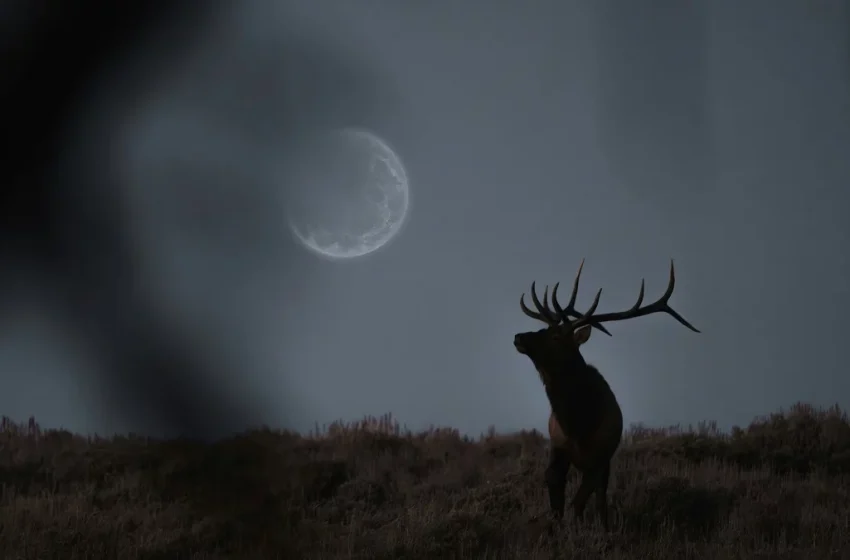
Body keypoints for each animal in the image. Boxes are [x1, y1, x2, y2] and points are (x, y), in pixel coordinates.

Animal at [513, 259, 699, 529]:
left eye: (556, 336)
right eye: (541, 328)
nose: (519, 337)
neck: (579, 424)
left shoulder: (600, 458)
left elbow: (579, 503)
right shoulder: (558, 449)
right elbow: (557, 503)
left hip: (605, 462)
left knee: (600, 498)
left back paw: (604, 525)